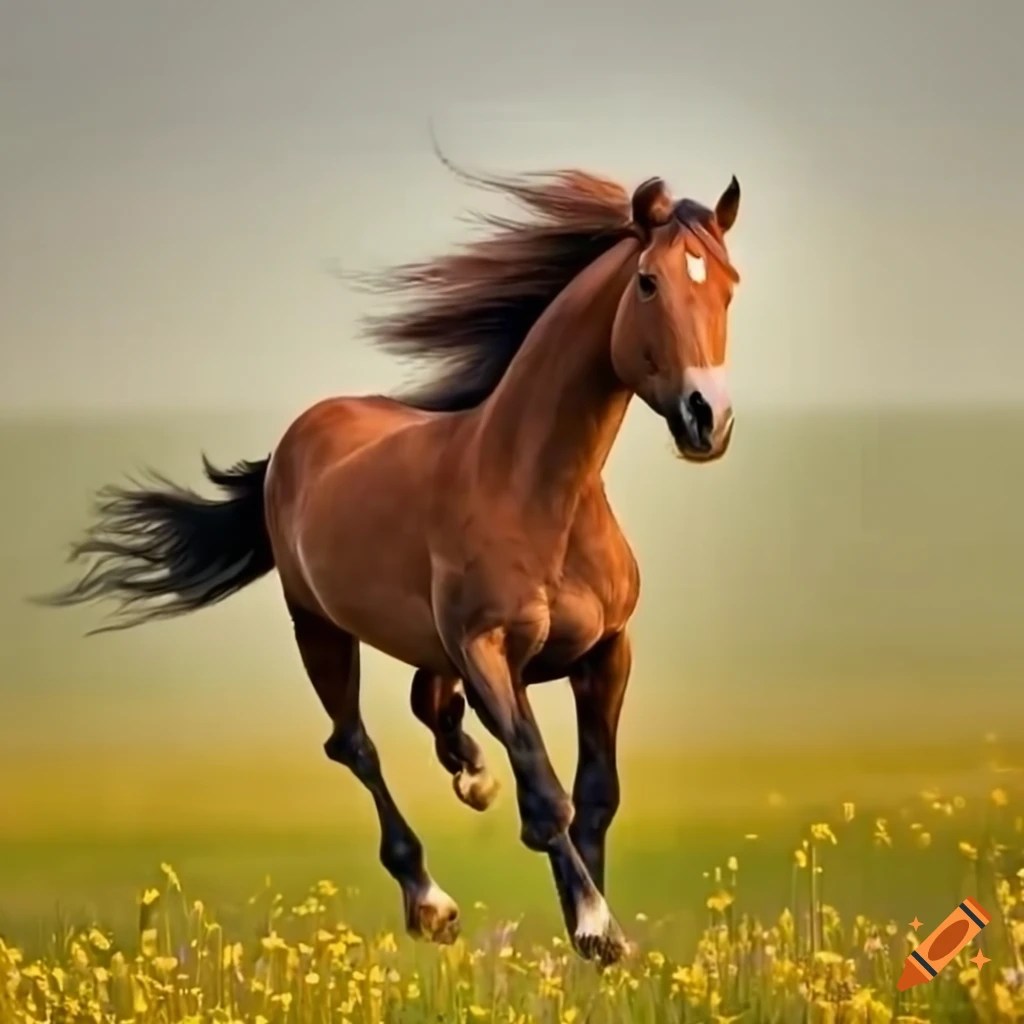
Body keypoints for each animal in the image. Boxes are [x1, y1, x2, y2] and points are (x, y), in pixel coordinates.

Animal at [40, 158, 742, 966]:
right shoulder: (486, 650)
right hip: (318, 627)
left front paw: (586, 933)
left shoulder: (606, 650)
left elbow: (595, 796)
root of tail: (302, 432)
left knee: (426, 704)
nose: (706, 417)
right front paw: (597, 928)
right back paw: (431, 901)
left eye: (730, 283)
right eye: (650, 282)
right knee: (355, 744)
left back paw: (471, 774)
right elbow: (544, 795)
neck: (539, 493)